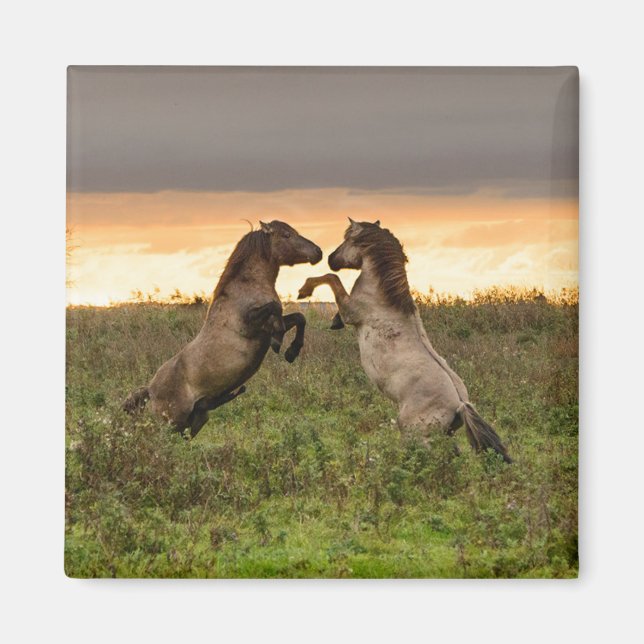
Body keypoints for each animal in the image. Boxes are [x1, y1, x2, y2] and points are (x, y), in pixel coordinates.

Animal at [123, 220, 323, 438]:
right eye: (286, 235)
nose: (318, 252)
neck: (247, 287)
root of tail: (150, 390)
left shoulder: (266, 328)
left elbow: (299, 318)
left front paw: (291, 352)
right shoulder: (250, 325)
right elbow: (276, 309)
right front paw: (279, 342)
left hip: (193, 422)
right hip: (170, 424)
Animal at [297, 218, 512, 463]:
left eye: (348, 239)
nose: (331, 258)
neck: (381, 296)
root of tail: (460, 404)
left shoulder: (351, 311)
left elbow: (332, 279)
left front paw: (304, 290)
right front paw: (333, 320)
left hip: (414, 432)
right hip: (443, 434)